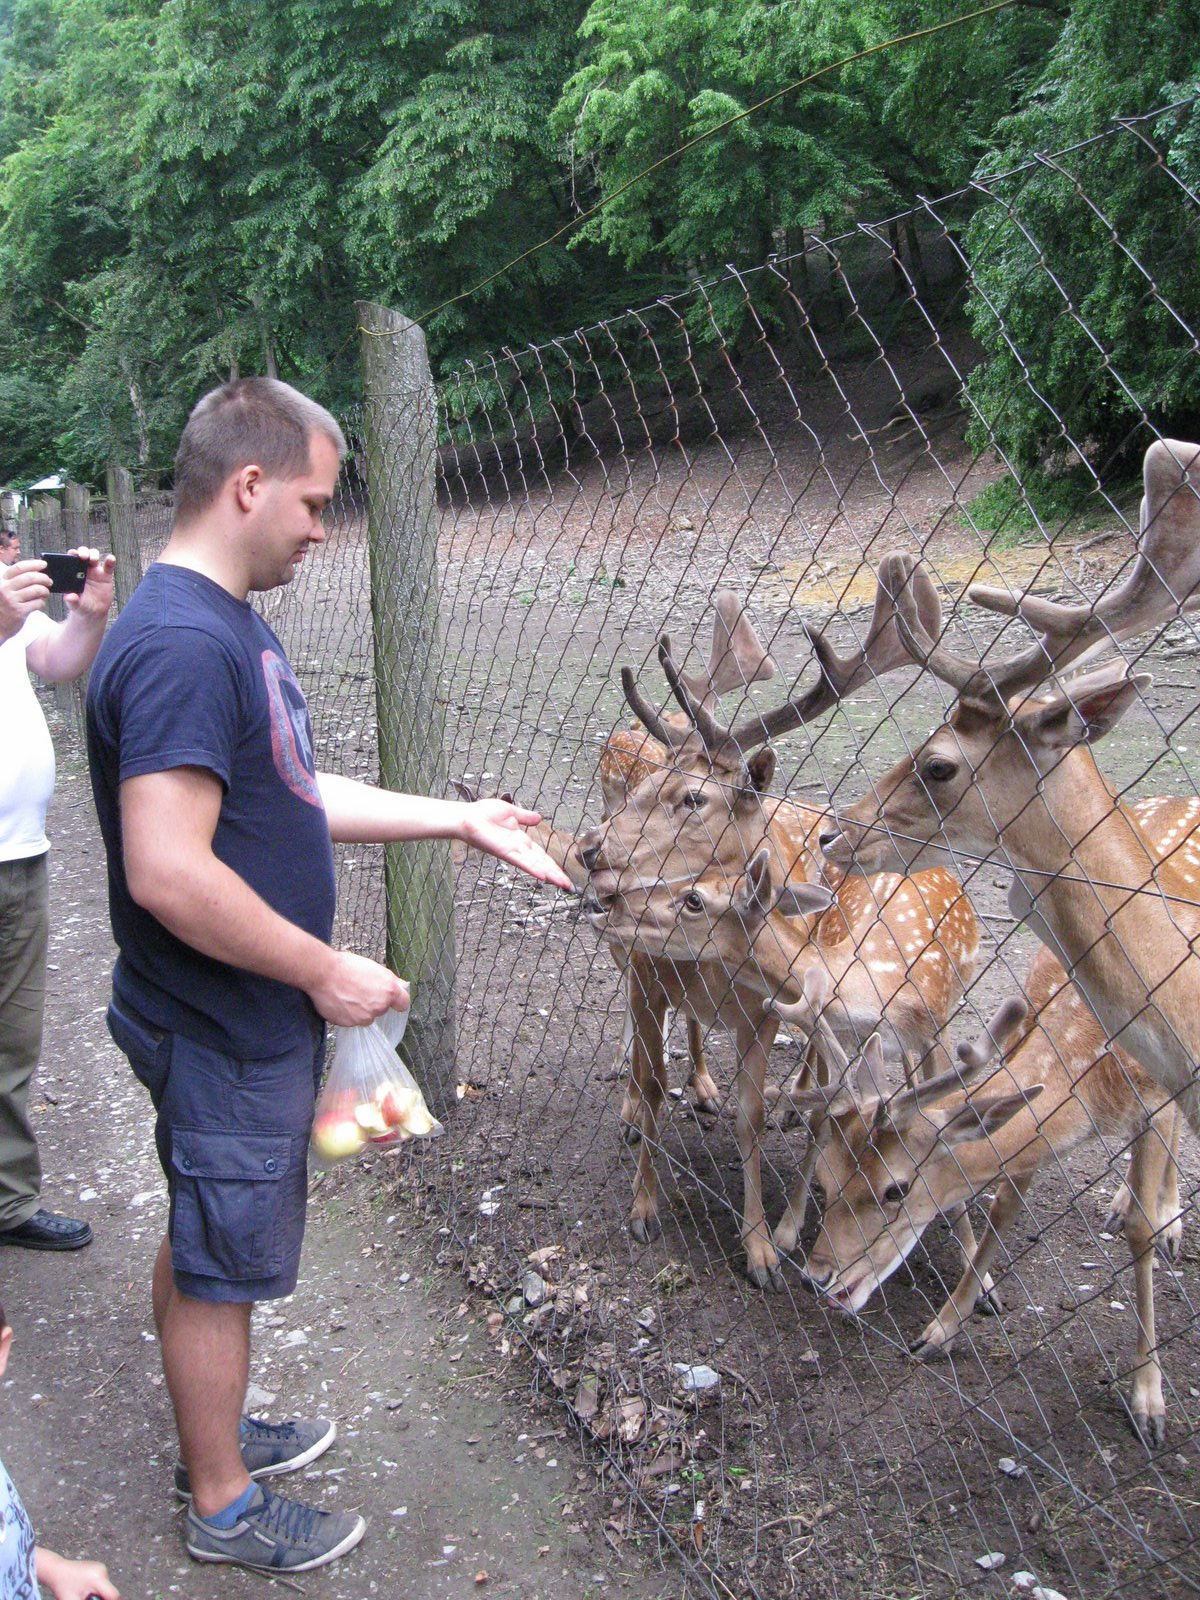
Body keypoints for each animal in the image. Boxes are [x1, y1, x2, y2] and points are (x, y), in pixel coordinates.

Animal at [784, 947, 1190, 1452]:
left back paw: (1161, 1215)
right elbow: (1003, 1206)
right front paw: (941, 1331)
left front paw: (1148, 1400)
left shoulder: (1155, 1096)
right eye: (824, 1179)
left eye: (896, 1188)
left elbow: (1141, 1229)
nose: (814, 1276)